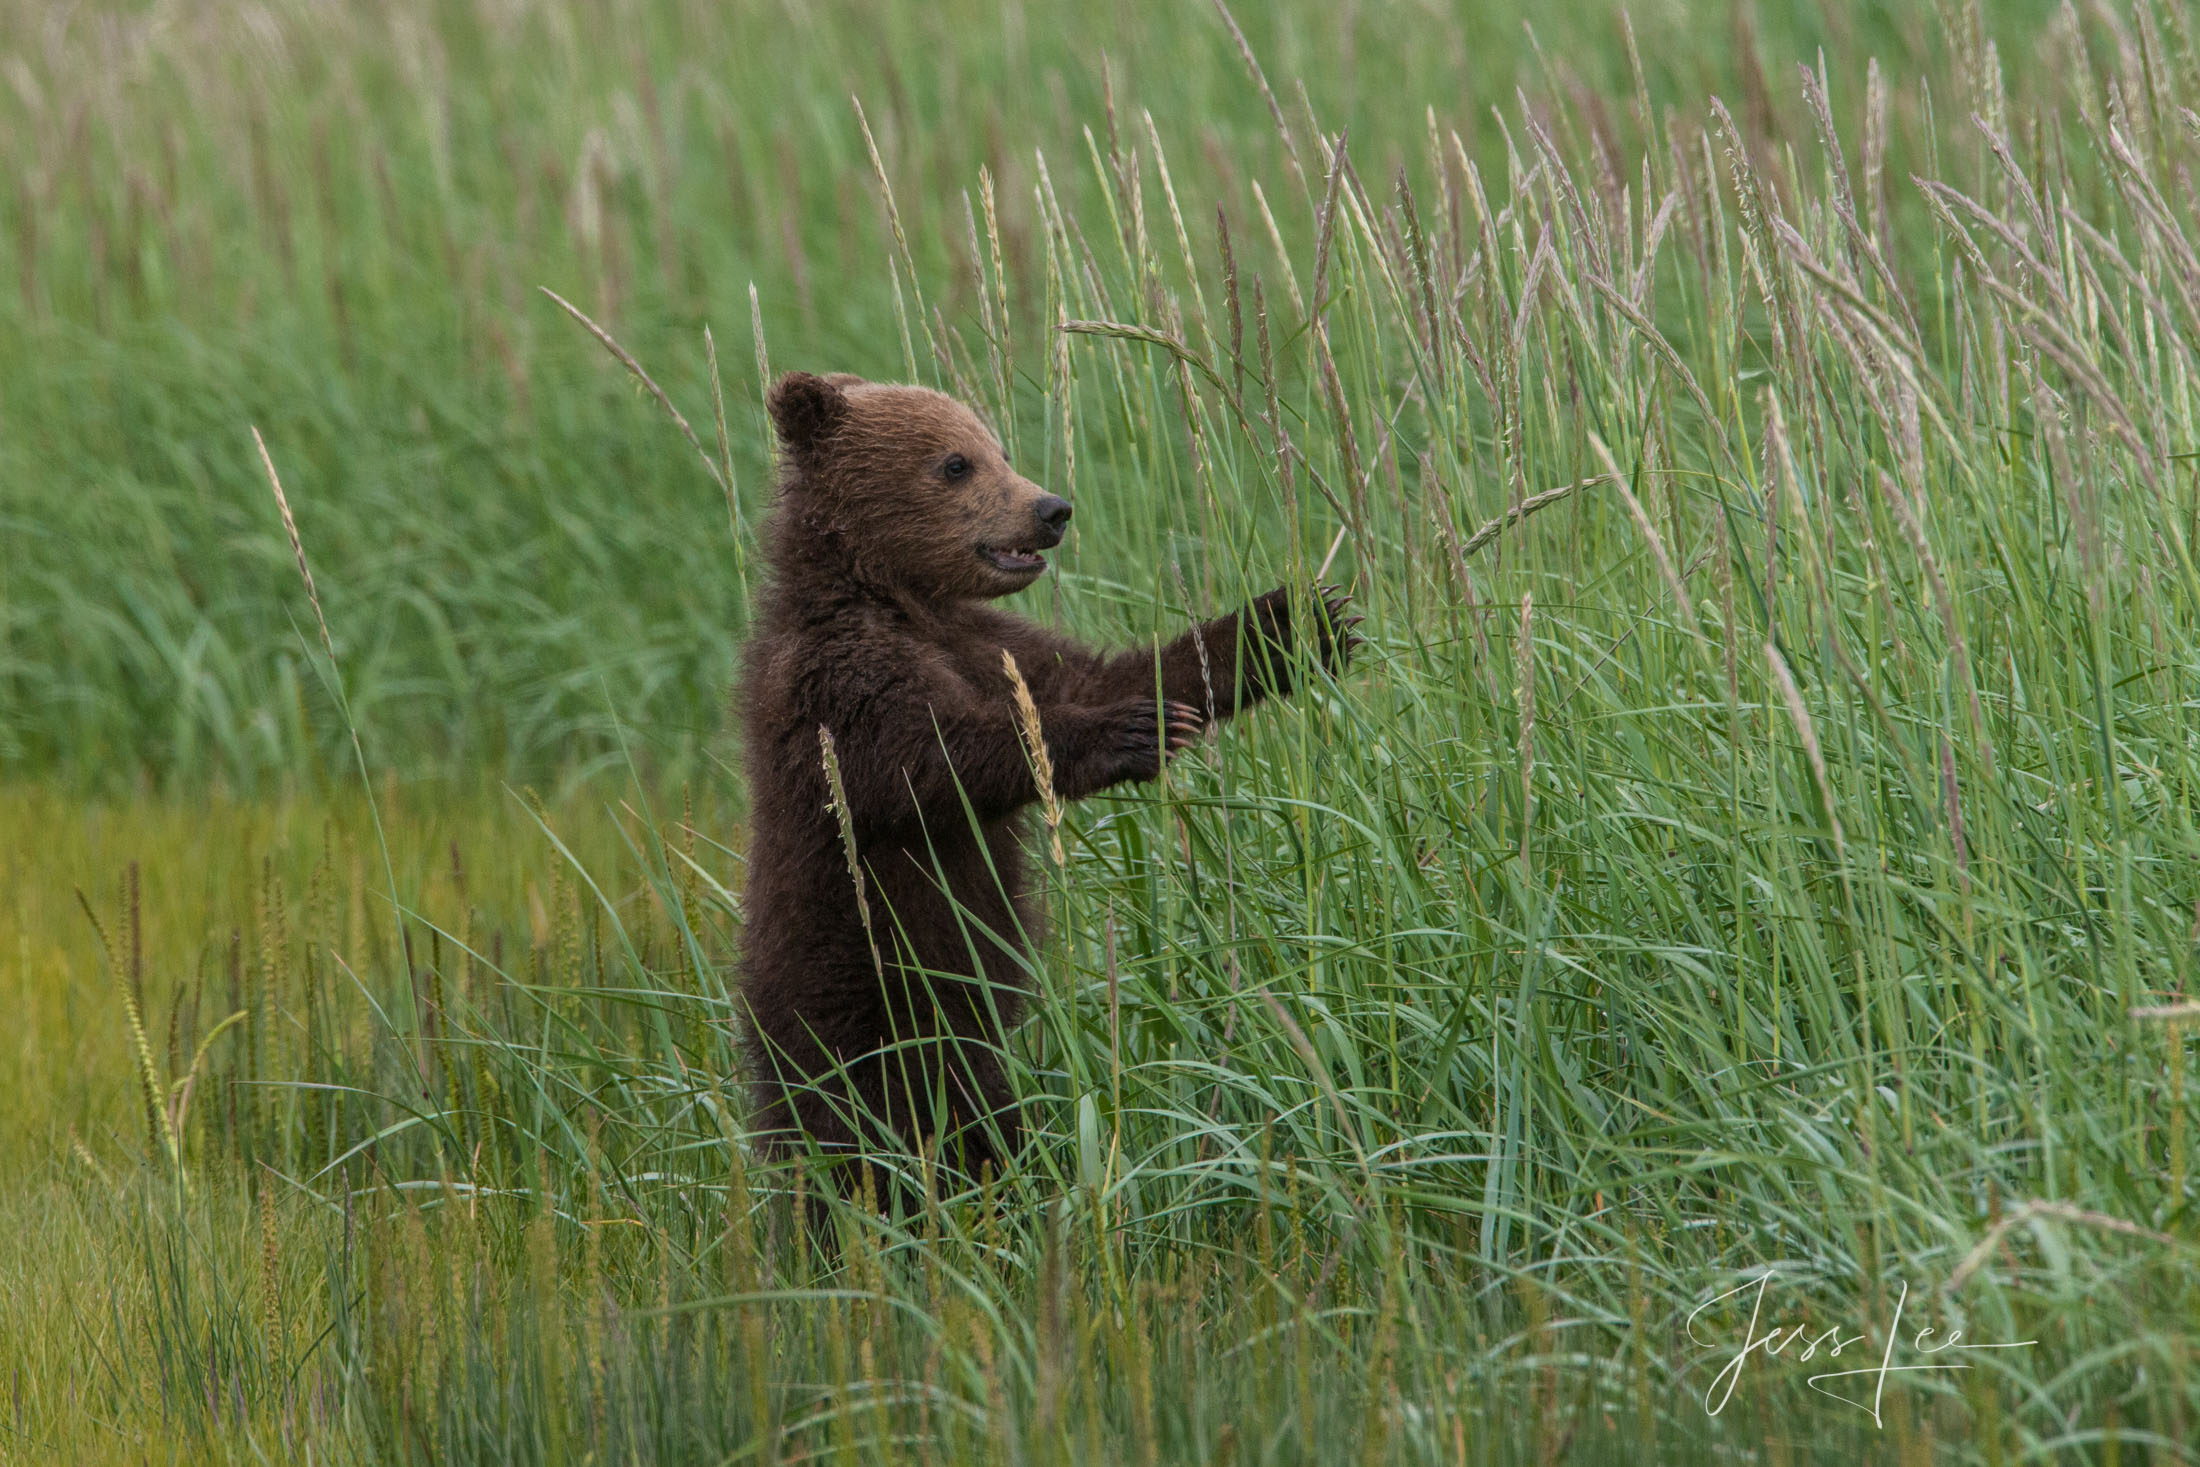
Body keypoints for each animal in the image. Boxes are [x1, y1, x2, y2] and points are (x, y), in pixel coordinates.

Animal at [743, 369, 1355, 1205]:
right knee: (847, 1140)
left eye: (997, 446)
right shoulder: (836, 689)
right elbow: (937, 760)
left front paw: (1290, 622)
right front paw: (1126, 733)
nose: (1051, 509)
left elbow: (1103, 672)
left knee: (977, 1114)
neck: (899, 598)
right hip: (848, 990)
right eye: (954, 463)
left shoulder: (993, 644)